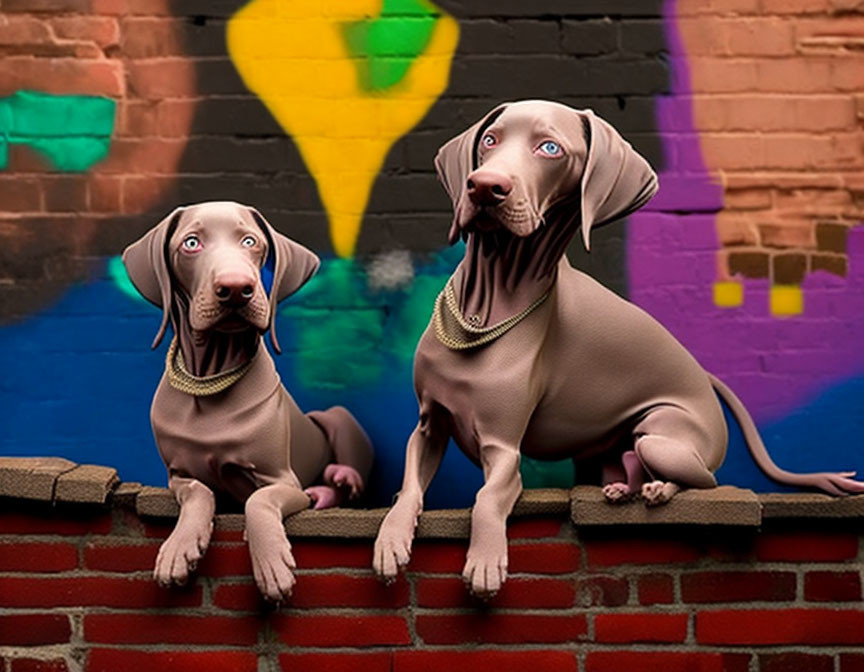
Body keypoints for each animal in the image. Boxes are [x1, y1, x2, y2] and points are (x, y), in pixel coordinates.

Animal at [123, 200, 372, 600]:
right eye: (191, 243)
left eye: (251, 241)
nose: (237, 288)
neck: (209, 384)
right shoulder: (178, 475)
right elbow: (198, 491)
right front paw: (179, 549)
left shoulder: (284, 482)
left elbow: (260, 499)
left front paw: (271, 566)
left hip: (339, 416)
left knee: (350, 472)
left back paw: (334, 482)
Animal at [374, 97, 864, 596]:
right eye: (490, 140)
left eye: (550, 148)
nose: (484, 187)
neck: (487, 306)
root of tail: (704, 380)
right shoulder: (429, 426)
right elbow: (408, 487)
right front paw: (391, 541)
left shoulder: (505, 451)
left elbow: (488, 497)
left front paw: (486, 560)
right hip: (611, 450)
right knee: (633, 463)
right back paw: (622, 488)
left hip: (662, 437)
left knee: (702, 478)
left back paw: (658, 490)